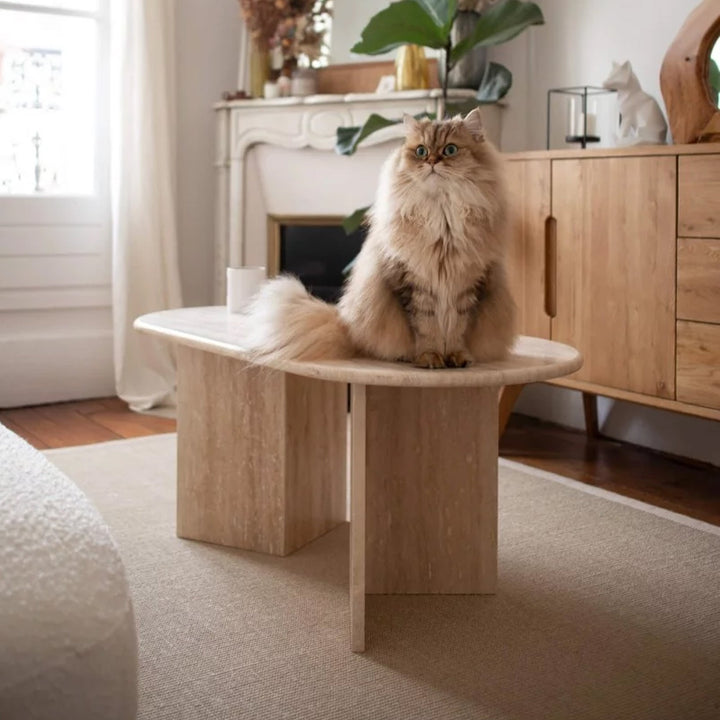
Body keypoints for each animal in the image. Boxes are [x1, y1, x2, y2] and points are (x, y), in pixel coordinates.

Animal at [242, 109, 516, 368]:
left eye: (450, 150)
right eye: (421, 151)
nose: (431, 161)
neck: (442, 215)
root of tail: (346, 324)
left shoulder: (469, 287)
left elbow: (458, 331)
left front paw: (457, 357)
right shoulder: (413, 285)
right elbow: (426, 331)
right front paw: (429, 357)